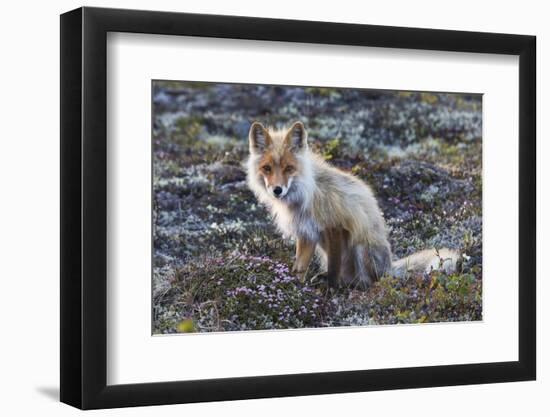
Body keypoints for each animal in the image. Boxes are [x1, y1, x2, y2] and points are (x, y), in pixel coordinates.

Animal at [248, 121, 460, 290]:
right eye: (267, 168)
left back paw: (352, 286)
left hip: (360, 245)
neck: (307, 193)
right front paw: (296, 287)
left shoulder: (336, 226)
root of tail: (389, 267)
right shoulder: (307, 233)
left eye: (289, 168)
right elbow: (299, 269)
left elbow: (334, 269)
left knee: (370, 281)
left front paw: (330, 289)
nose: (277, 190)